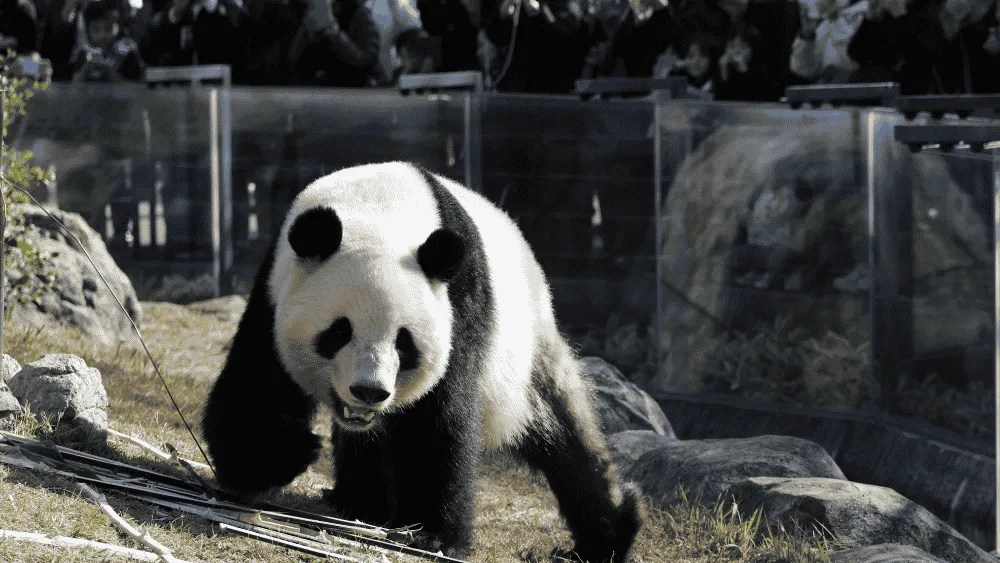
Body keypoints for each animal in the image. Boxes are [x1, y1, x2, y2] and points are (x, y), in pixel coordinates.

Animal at [202, 162, 643, 561]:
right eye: (339, 331)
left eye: (404, 342)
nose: (369, 391)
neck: (379, 210)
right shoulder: (274, 291)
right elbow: (256, 386)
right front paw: (283, 452)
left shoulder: (456, 308)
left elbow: (437, 420)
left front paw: (431, 535)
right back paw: (358, 503)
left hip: (525, 348)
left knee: (564, 433)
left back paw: (605, 537)